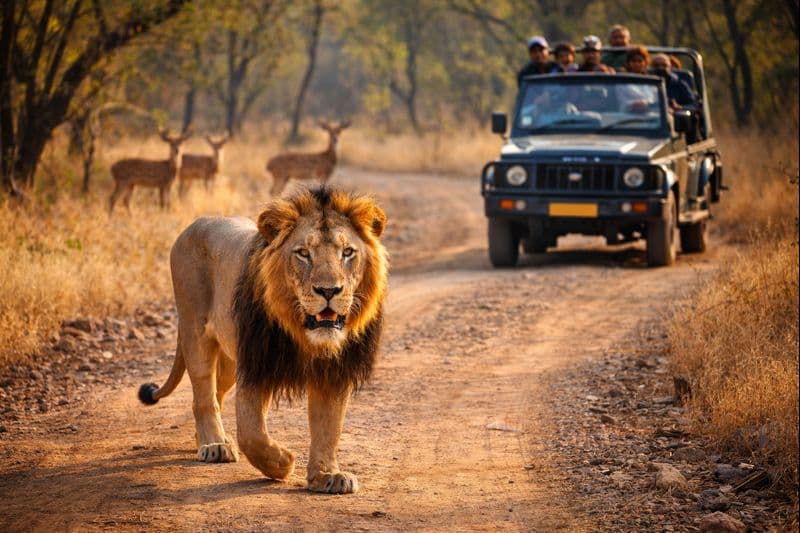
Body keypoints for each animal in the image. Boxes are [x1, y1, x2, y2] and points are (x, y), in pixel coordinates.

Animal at [138, 185, 388, 494]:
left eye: (348, 252)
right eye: (303, 253)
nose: (329, 290)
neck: (303, 333)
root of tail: (193, 225)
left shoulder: (333, 371)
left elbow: (329, 426)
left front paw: (327, 475)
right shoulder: (257, 365)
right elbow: (251, 433)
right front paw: (282, 463)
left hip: (230, 360)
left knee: (216, 394)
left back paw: (207, 439)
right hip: (195, 330)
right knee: (203, 395)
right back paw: (214, 444)